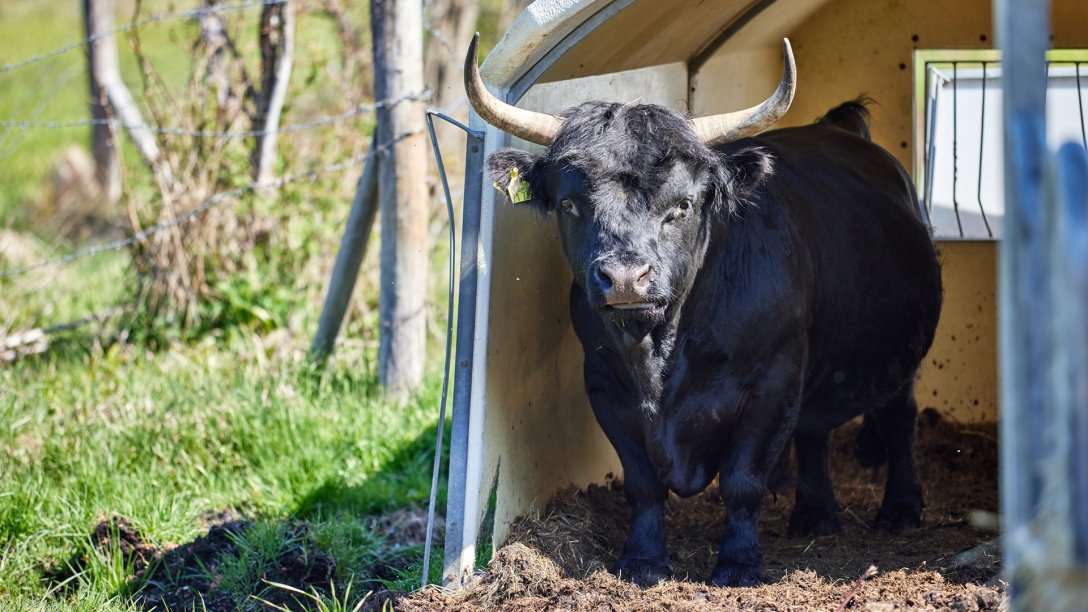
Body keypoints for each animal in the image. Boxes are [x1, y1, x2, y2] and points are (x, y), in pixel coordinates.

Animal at [487, 101, 944, 588]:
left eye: (683, 205)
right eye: (569, 203)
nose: (626, 279)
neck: (662, 351)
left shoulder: (773, 382)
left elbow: (742, 481)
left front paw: (739, 563)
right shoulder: (604, 387)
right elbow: (643, 484)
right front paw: (643, 559)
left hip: (898, 357)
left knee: (899, 418)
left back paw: (900, 509)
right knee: (814, 430)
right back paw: (816, 514)